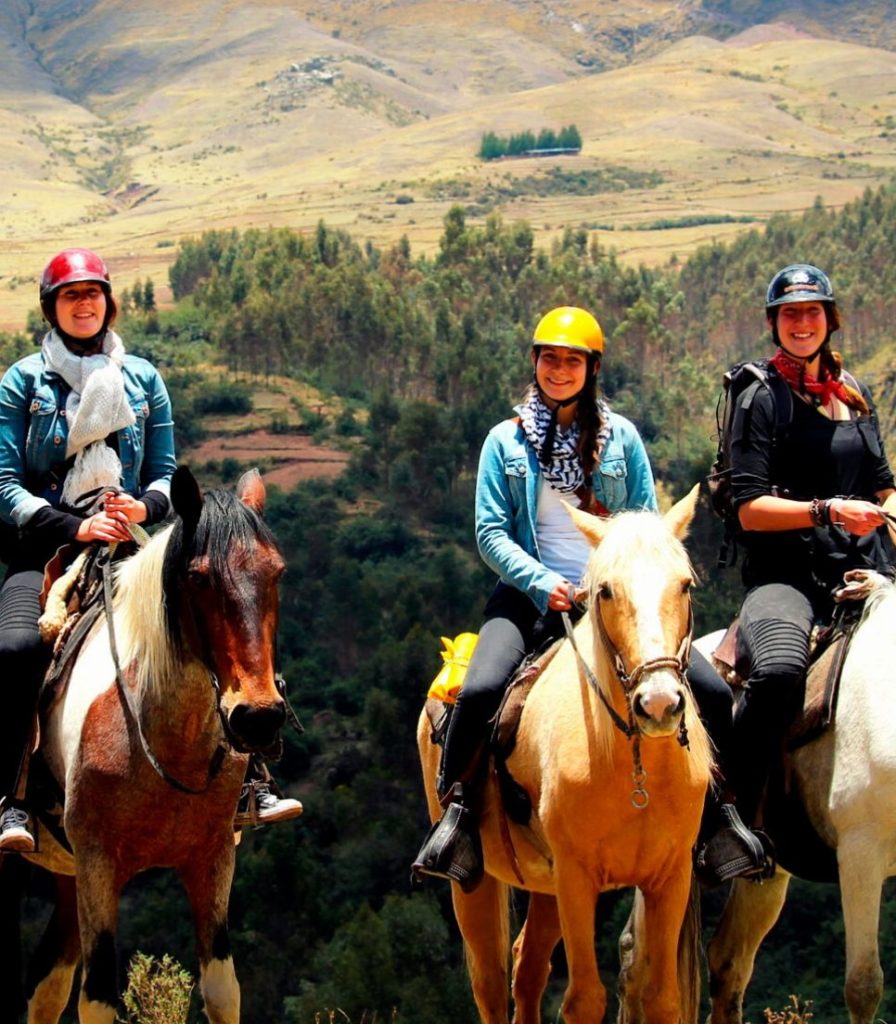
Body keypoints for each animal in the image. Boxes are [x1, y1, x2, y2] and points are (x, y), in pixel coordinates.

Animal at [9, 466, 284, 1024]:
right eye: (199, 578)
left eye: (277, 574)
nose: (258, 717)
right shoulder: (98, 864)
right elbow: (96, 997)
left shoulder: (213, 859)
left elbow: (221, 989)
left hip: (66, 874)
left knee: (47, 982)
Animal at [417, 487, 716, 1024]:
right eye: (606, 591)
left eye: (684, 586)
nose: (659, 703)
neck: (635, 770)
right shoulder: (577, 881)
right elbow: (584, 1000)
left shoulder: (670, 877)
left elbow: (662, 997)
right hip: (475, 883)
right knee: (490, 981)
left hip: (544, 886)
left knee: (527, 968)